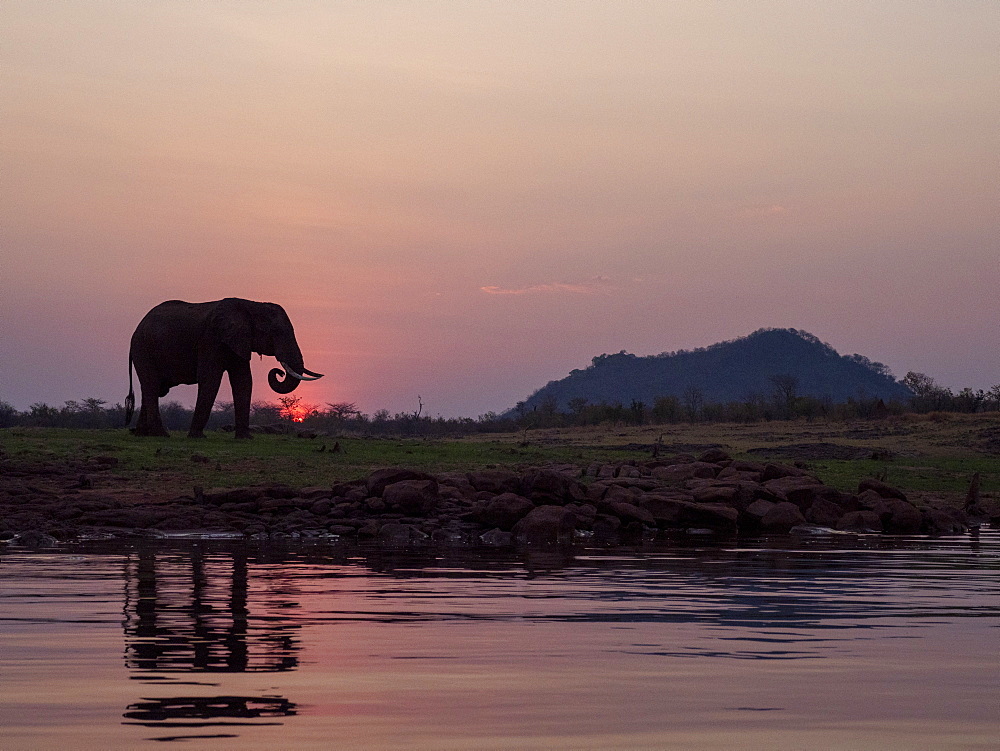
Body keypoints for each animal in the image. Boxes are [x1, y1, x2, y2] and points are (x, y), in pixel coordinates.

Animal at [122, 300, 322, 438]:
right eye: (277, 333)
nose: (278, 371)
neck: (251, 305)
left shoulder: (239, 341)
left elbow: (243, 381)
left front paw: (245, 438)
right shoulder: (211, 339)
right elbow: (211, 379)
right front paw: (197, 437)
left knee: (151, 389)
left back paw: (142, 434)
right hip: (143, 349)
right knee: (152, 386)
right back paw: (161, 435)